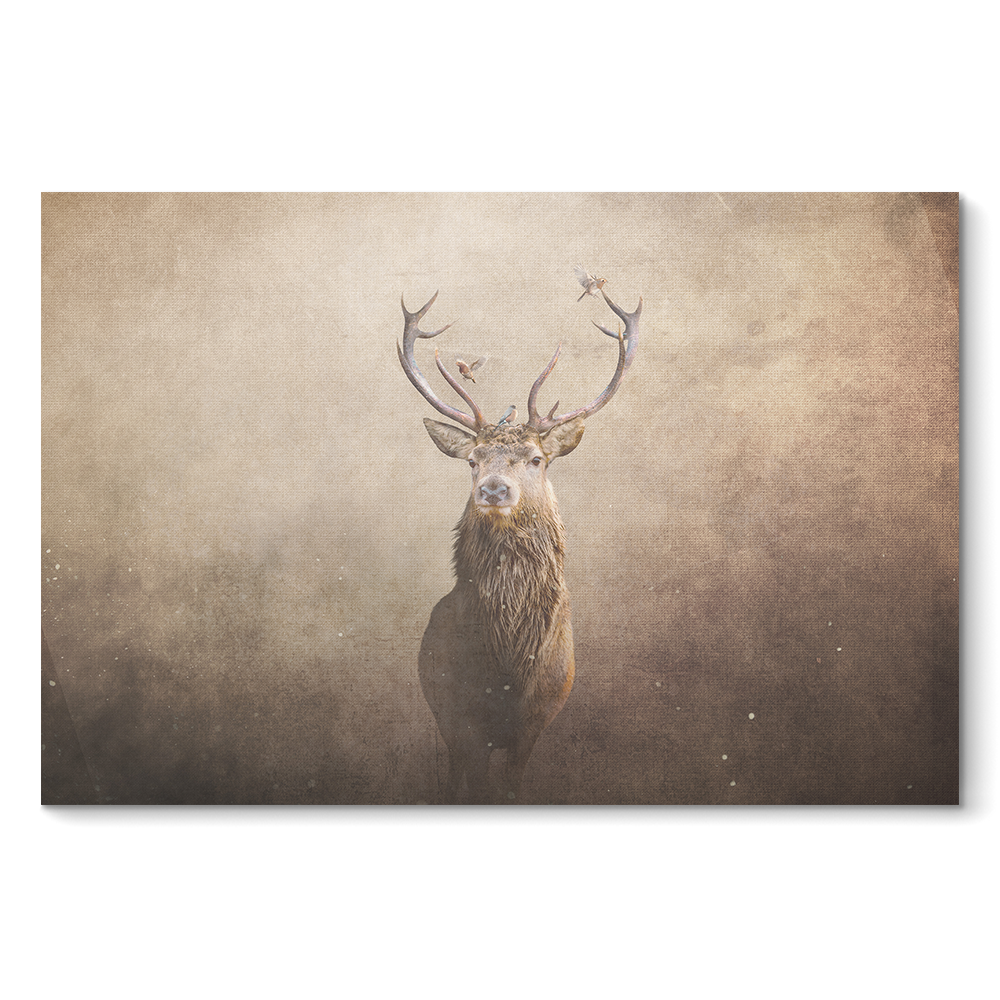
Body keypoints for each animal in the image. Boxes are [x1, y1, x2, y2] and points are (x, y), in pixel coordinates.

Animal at [398, 288, 641, 803]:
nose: (493, 489)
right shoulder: (461, 720)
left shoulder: (536, 721)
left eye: (536, 459)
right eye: (472, 459)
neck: (507, 670)